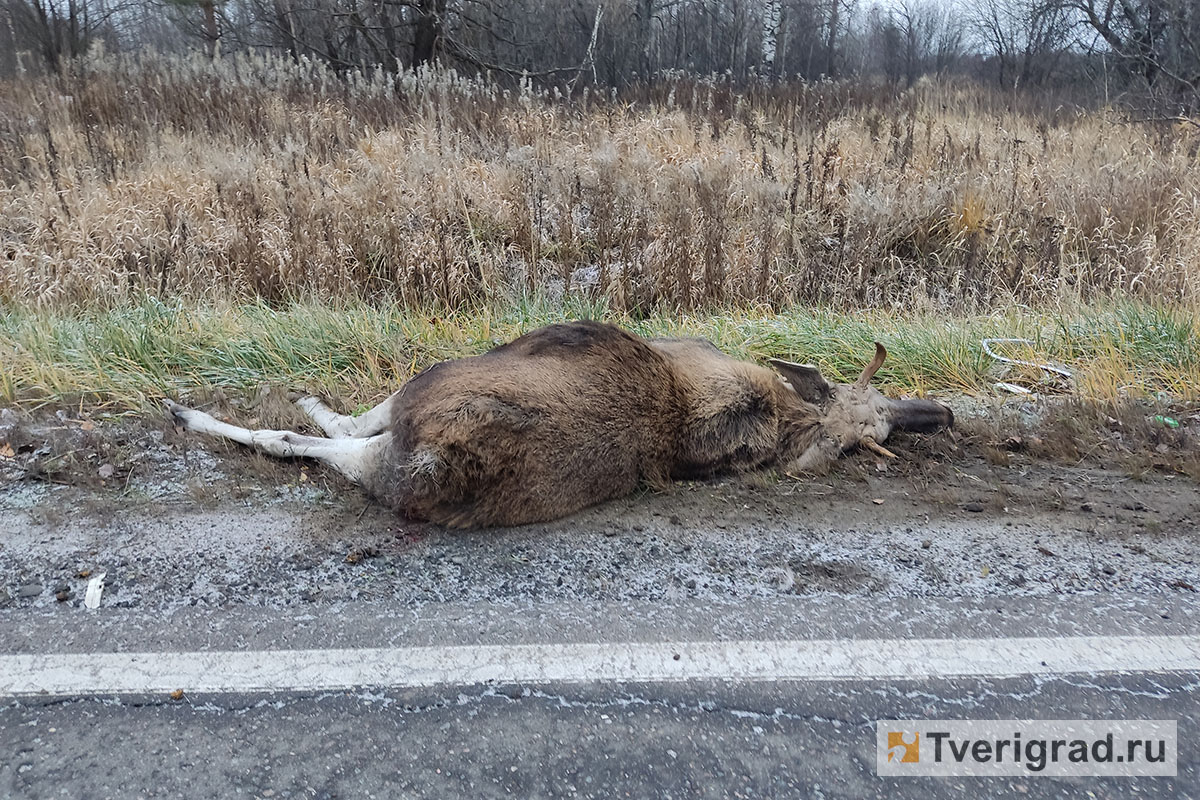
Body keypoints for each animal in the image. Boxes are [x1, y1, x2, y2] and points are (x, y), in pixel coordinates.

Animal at [166, 321, 955, 527]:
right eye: (876, 419)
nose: (940, 412)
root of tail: (440, 459)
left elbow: (334, 422)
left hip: (423, 394)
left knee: (317, 438)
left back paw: (197, 412)